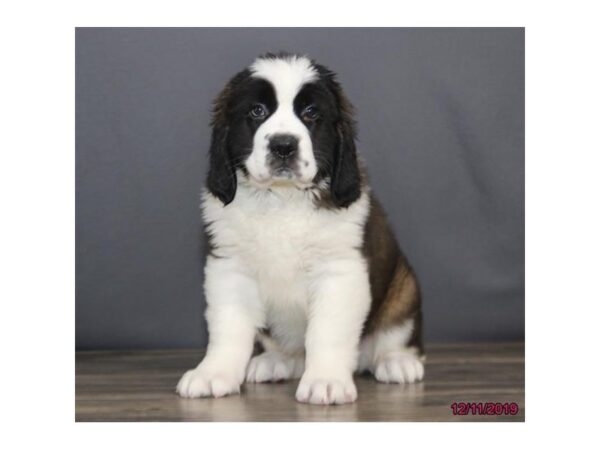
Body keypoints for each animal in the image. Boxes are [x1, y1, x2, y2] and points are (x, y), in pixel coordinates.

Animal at [176, 53, 424, 408]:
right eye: (257, 111)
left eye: (311, 113)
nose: (283, 146)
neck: (282, 200)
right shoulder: (229, 268)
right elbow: (228, 326)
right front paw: (213, 373)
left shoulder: (339, 273)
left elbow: (327, 331)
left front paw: (326, 380)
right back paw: (275, 361)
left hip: (404, 287)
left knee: (396, 333)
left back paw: (397, 361)